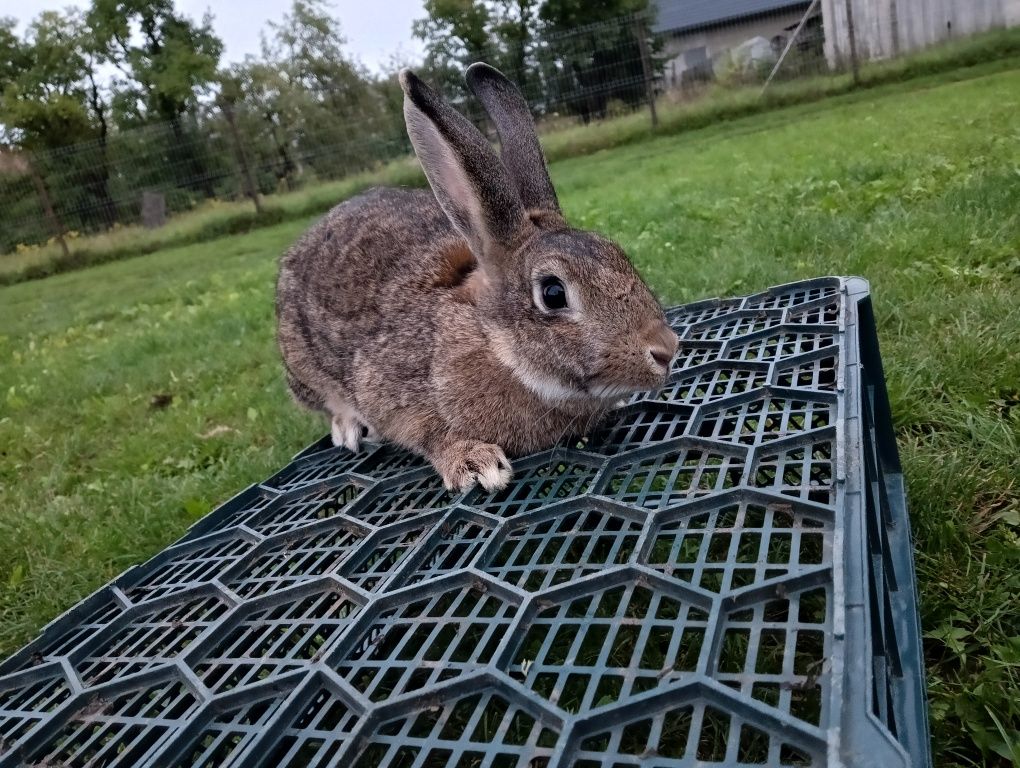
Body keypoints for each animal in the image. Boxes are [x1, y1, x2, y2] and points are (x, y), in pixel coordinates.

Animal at [275, 62, 681, 487]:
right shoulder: (387, 390)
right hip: (302, 366)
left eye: (617, 254)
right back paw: (348, 427)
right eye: (553, 293)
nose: (666, 348)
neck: (493, 342)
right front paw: (475, 463)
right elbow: (430, 435)